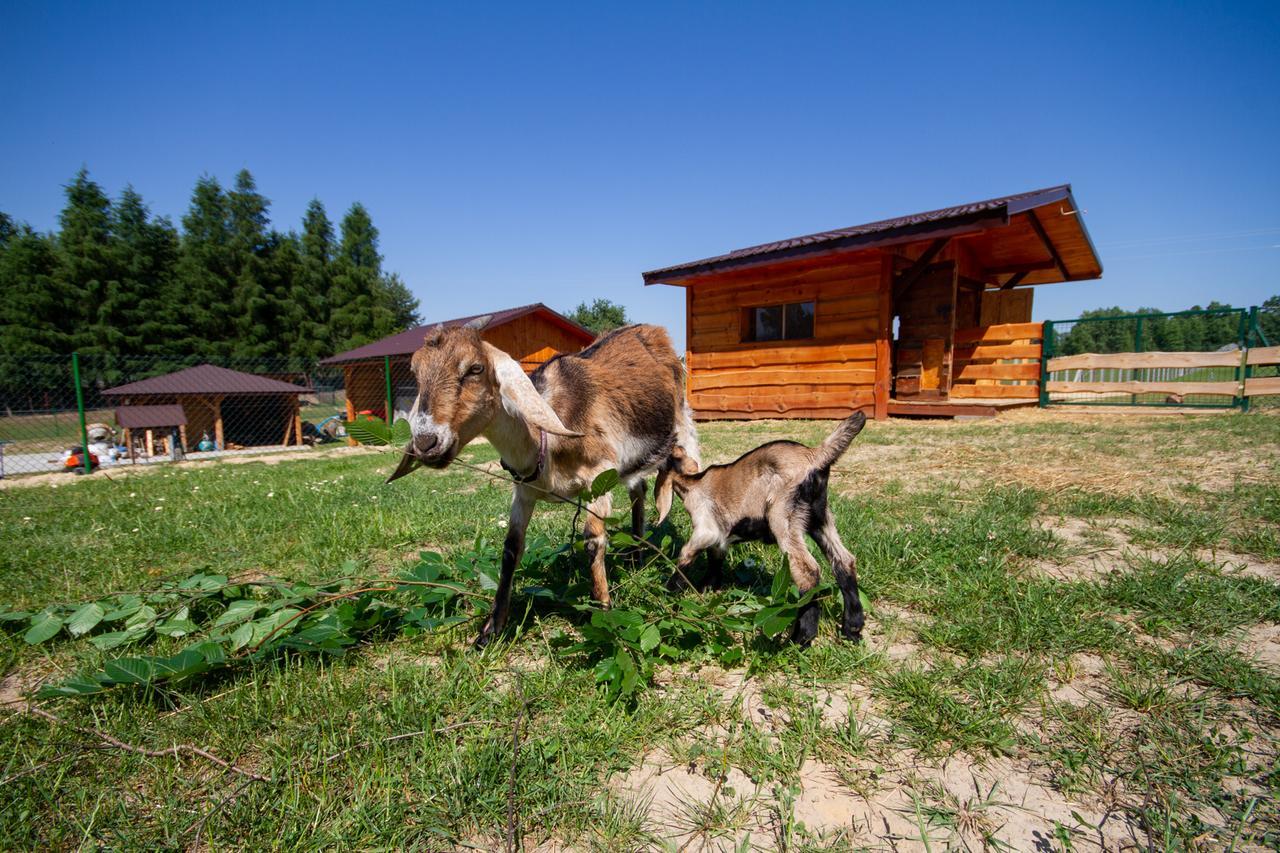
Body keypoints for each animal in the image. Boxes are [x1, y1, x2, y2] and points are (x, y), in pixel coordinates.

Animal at [389, 318, 701, 645]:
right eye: (415, 372)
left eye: (475, 368)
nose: (426, 442)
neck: (546, 435)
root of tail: (650, 329)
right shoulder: (524, 491)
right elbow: (511, 549)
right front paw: (491, 631)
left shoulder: (599, 477)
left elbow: (593, 541)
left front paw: (604, 612)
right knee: (638, 489)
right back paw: (636, 555)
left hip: (683, 429)